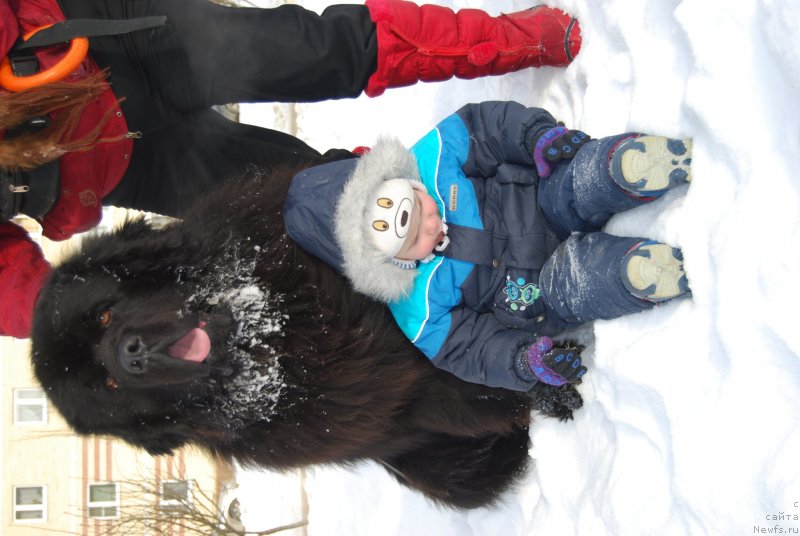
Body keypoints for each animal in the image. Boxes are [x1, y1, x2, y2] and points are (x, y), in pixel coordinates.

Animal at [31, 166, 580, 506]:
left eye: (104, 314)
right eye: (110, 387)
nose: (130, 355)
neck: (284, 328)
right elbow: (482, 379)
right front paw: (547, 377)